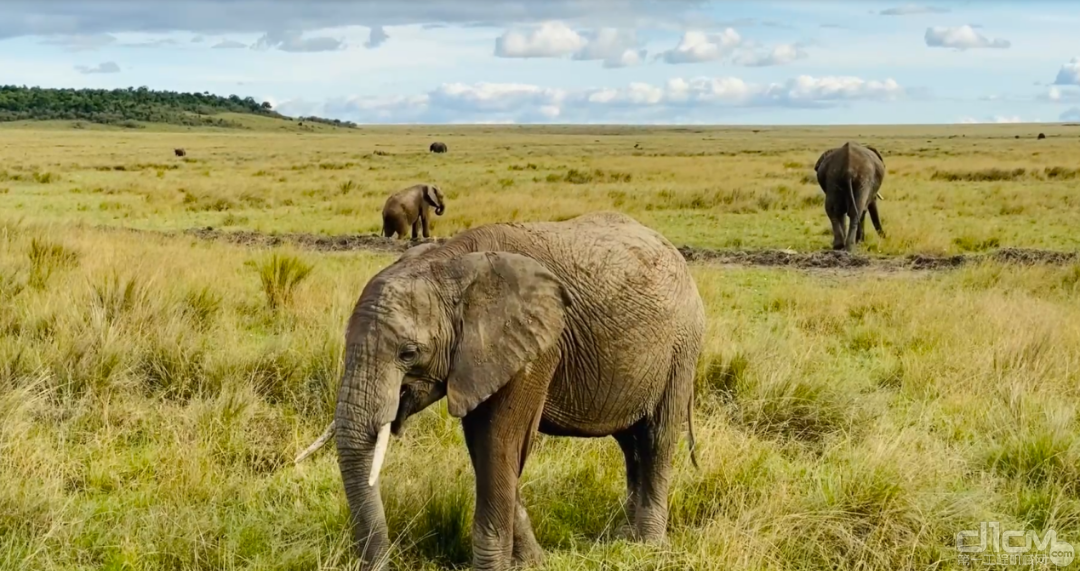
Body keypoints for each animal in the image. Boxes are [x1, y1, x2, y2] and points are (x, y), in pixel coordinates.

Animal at [295, 210, 704, 569]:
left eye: (408, 353)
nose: (386, 563)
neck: (450, 262)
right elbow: (486, 449)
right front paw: (533, 563)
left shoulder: (536, 348)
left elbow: (499, 444)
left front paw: (495, 568)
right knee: (630, 442)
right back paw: (624, 537)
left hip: (682, 347)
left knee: (656, 438)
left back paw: (647, 546)